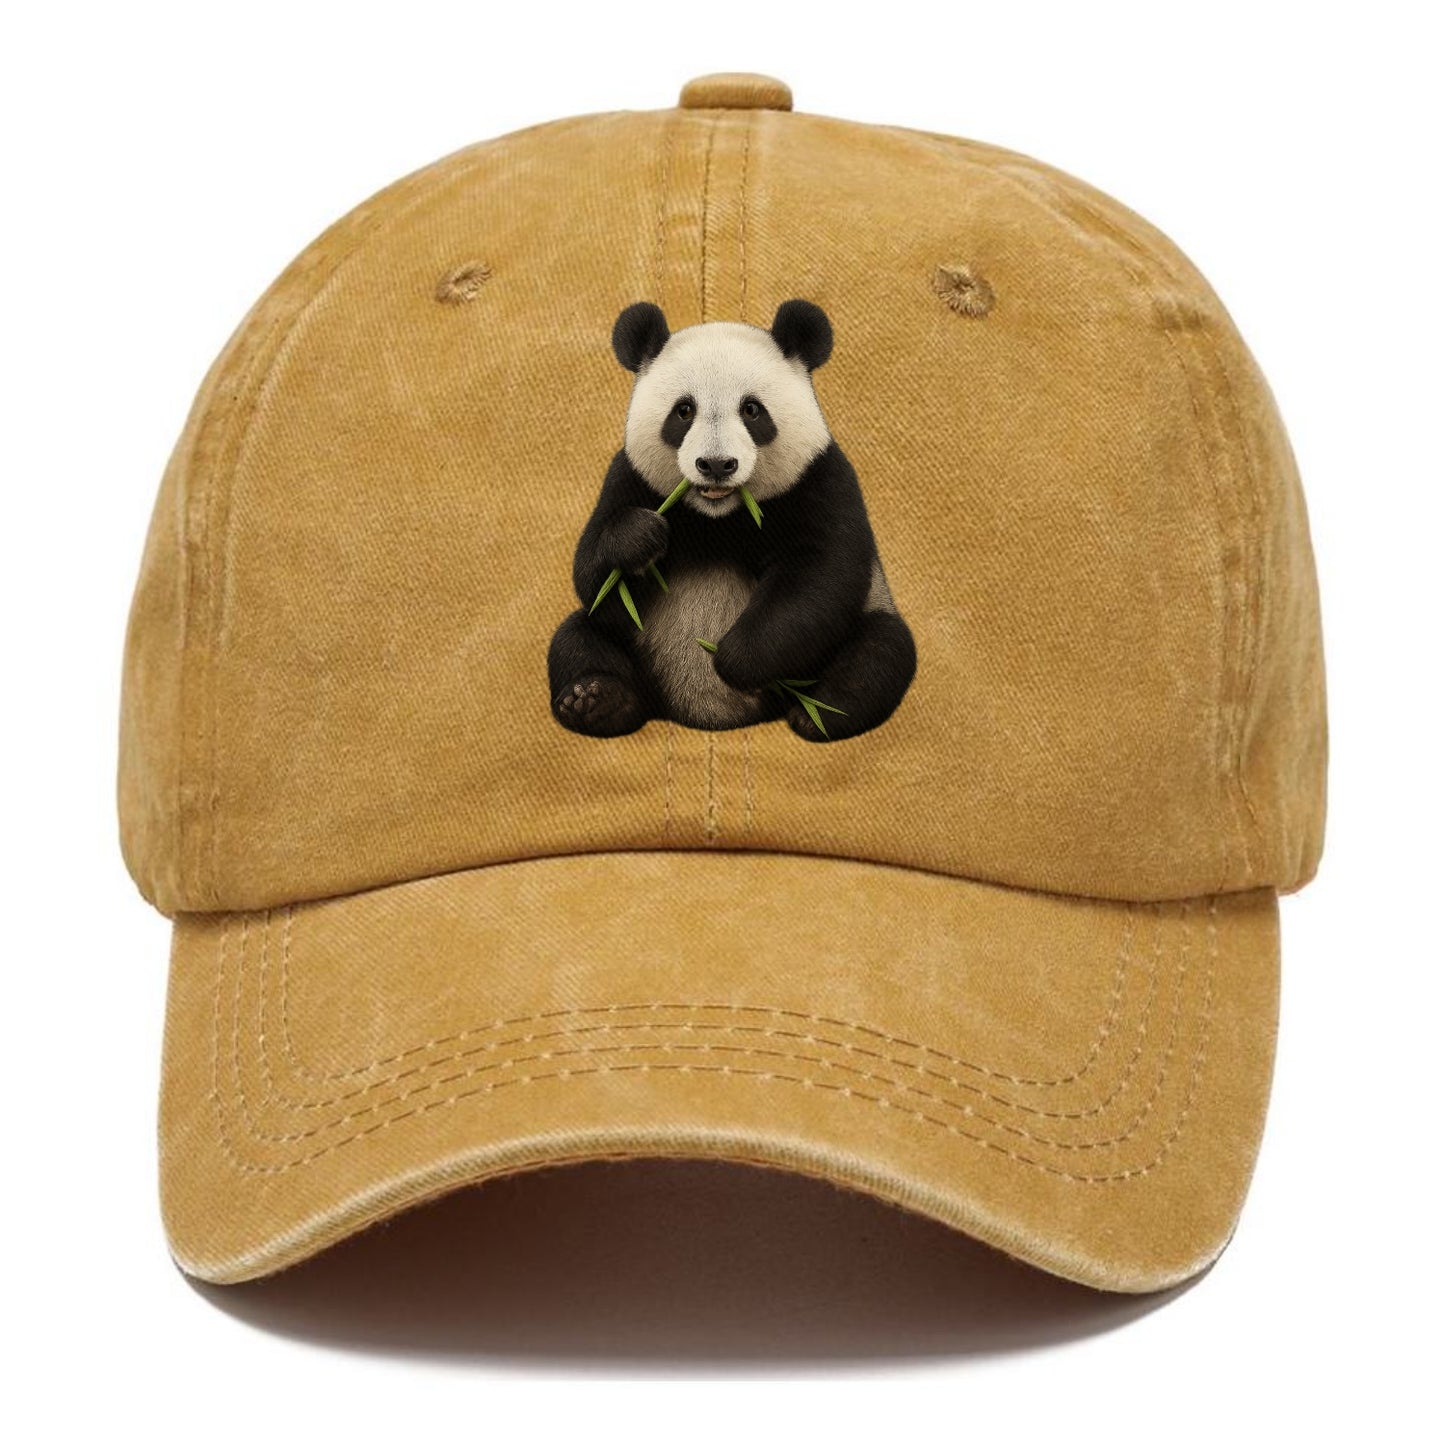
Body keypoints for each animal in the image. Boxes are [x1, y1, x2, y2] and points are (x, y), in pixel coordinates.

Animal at [547, 299, 916, 743]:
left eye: (752, 410)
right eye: (684, 411)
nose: (716, 465)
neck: (720, 516)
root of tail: (713, 717)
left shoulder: (820, 481)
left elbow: (820, 575)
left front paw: (733, 661)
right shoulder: (629, 478)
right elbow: (595, 579)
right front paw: (639, 537)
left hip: (862, 625)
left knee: (880, 650)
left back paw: (819, 712)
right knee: (576, 636)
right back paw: (598, 702)